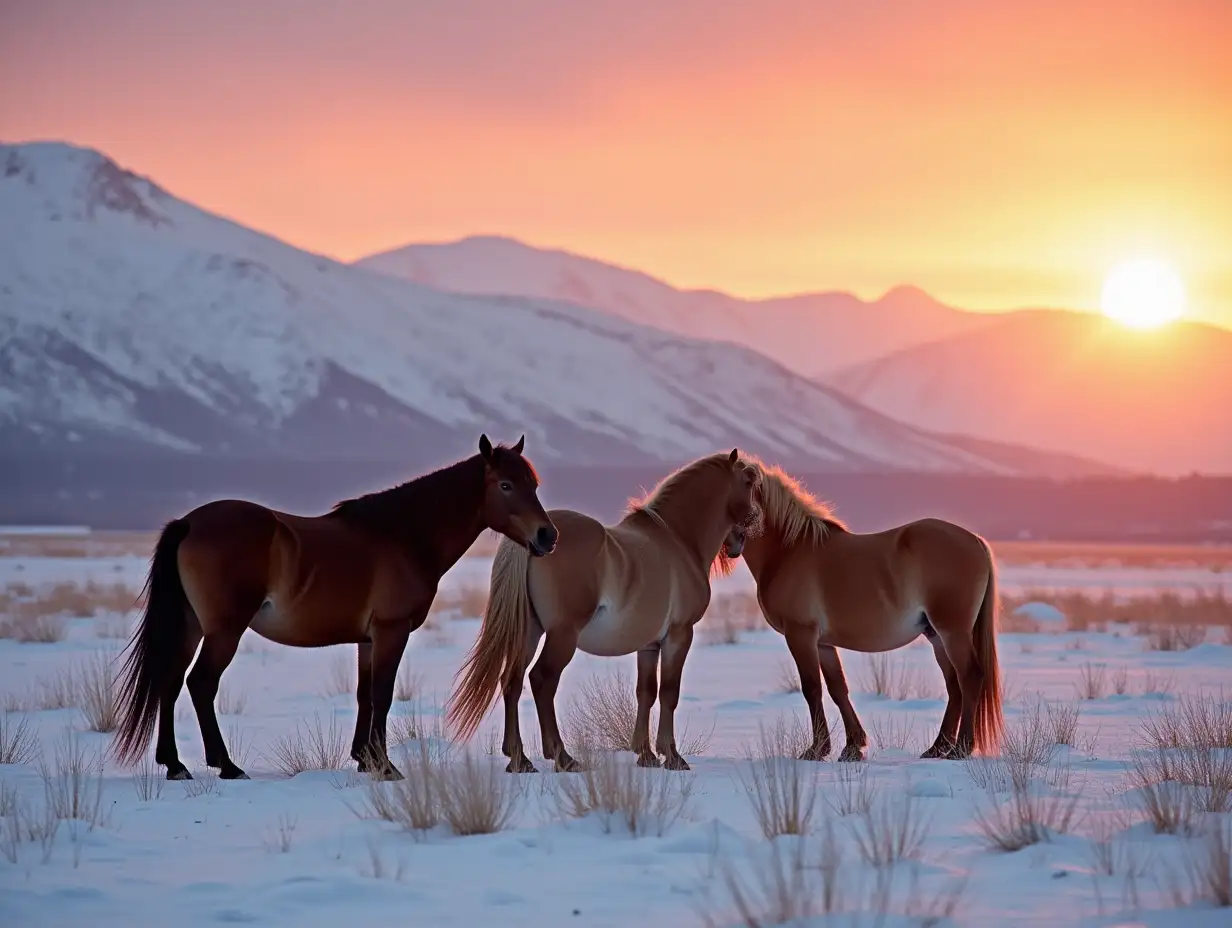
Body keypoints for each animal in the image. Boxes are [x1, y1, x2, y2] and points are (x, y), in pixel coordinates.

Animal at [115, 436, 559, 783]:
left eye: (535, 484)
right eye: (506, 484)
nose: (547, 536)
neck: (404, 536)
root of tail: (188, 523)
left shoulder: (368, 639)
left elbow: (364, 695)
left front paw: (365, 759)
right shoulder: (392, 631)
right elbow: (382, 694)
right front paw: (386, 766)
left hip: (190, 626)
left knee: (170, 682)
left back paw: (175, 765)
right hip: (225, 630)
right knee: (201, 683)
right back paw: (226, 765)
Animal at [450, 453, 758, 769]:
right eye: (748, 481)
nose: (743, 535)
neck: (677, 540)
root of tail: (534, 542)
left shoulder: (648, 644)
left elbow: (646, 692)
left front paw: (646, 754)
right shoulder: (679, 635)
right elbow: (669, 693)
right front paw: (672, 756)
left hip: (529, 631)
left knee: (512, 680)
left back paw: (519, 759)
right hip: (562, 636)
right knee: (542, 680)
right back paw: (562, 756)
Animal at [719, 460, 1000, 764]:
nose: (730, 545)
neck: (788, 551)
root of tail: (976, 541)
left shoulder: (800, 634)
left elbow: (811, 688)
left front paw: (816, 750)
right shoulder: (823, 643)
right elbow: (837, 689)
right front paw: (853, 747)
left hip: (952, 632)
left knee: (969, 677)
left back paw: (961, 747)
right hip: (936, 635)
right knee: (954, 686)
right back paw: (937, 748)